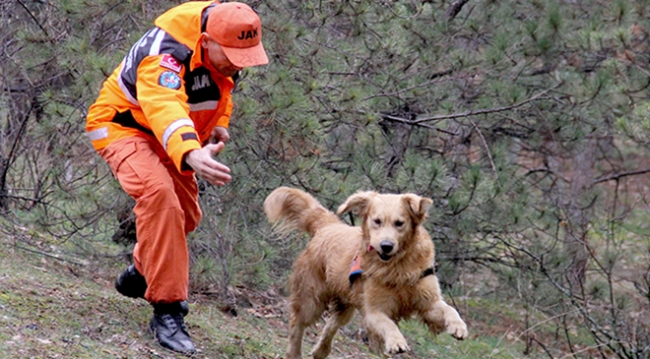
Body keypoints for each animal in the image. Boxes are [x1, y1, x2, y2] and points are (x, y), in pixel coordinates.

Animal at [264, 188, 466, 359]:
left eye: (399, 223)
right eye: (377, 221)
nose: (386, 246)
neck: (399, 266)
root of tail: (327, 226)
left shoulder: (427, 302)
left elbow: (449, 309)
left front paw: (458, 326)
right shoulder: (374, 310)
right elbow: (388, 324)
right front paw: (396, 341)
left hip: (346, 304)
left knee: (331, 325)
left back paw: (321, 351)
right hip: (311, 298)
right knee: (297, 323)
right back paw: (294, 353)